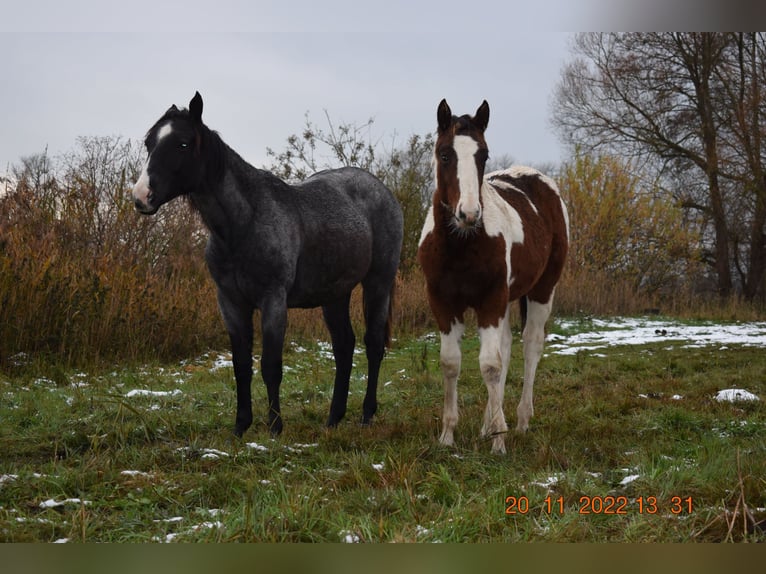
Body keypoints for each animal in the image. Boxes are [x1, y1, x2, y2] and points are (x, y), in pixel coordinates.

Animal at [132, 92, 403, 437]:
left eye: (182, 143)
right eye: (149, 142)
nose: (142, 197)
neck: (242, 226)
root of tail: (382, 191)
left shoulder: (273, 301)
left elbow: (270, 366)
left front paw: (275, 427)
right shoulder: (231, 303)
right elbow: (241, 366)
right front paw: (240, 426)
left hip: (378, 282)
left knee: (373, 344)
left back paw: (367, 414)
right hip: (335, 294)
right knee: (344, 347)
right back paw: (333, 418)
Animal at [417, 99, 569, 454]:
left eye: (483, 155)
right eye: (445, 154)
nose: (469, 213)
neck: (461, 244)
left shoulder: (490, 300)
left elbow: (490, 365)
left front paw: (499, 440)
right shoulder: (443, 303)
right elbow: (451, 363)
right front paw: (448, 436)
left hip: (541, 290)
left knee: (530, 345)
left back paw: (520, 421)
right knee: (507, 345)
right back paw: (489, 424)